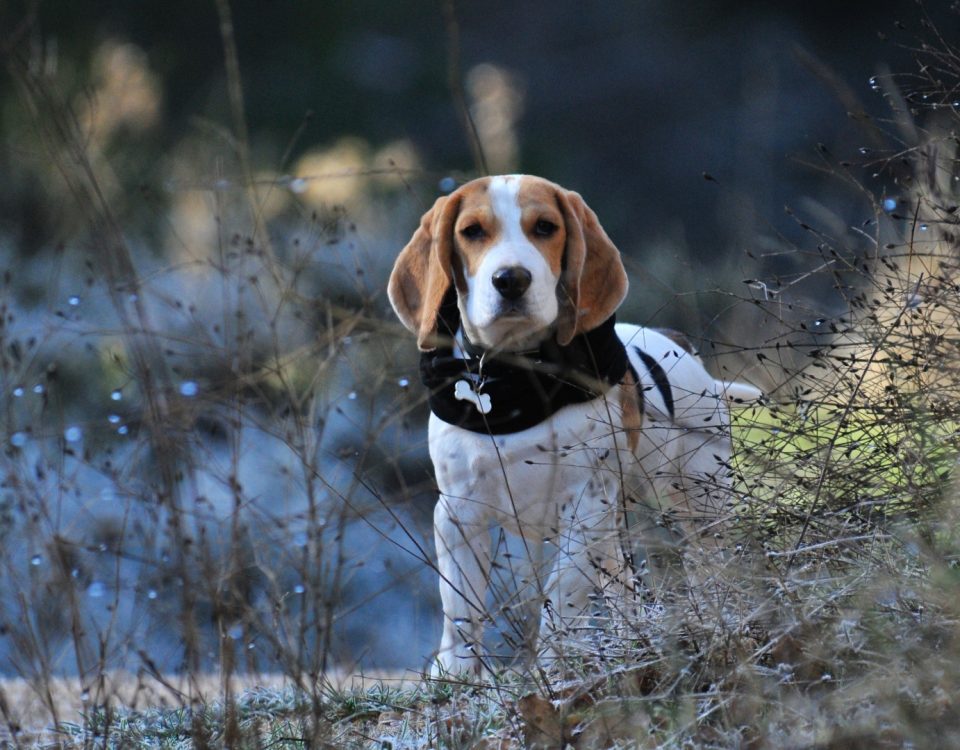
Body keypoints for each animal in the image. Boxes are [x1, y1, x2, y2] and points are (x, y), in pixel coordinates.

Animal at [388, 175, 756, 676]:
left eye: (545, 227)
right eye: (472, 231)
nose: (511, 279)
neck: (516, 381)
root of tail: (682, 348)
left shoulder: (583, 509)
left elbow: (561, 597)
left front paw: (553, 667)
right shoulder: (459, 513)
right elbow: (461, 609)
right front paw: (457, 674)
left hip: (699, 502)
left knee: (709, 566)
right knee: (624, 586)